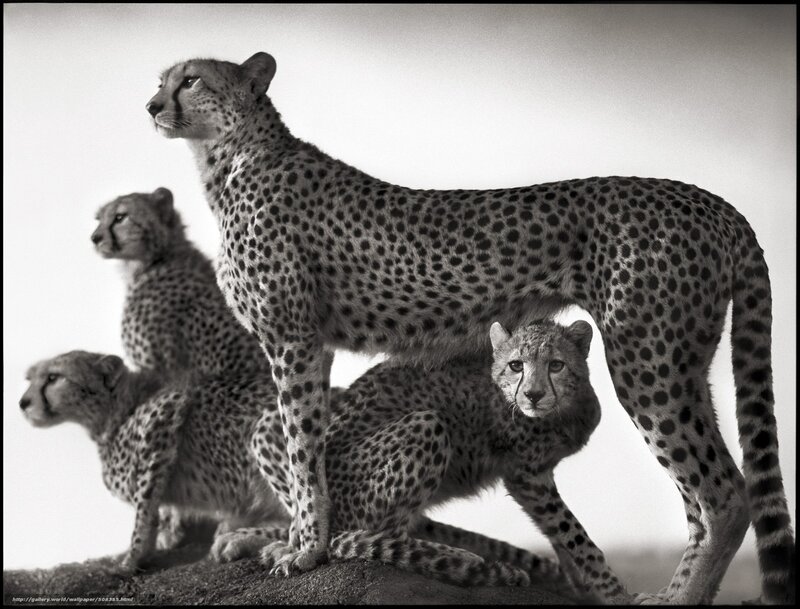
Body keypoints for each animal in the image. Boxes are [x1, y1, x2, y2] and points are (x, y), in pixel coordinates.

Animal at [18, 350, 287, 572]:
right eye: (30, 379)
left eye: (53, 378)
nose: (23, 403)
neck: (117, 409)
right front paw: (169, 535)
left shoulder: (167, 408)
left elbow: (144, 506)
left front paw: (132, 558)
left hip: (265, 429)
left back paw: (252, 541)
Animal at [210, 319, 622, 599]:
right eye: (516, 365)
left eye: (556, 365)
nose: (534, 395)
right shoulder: (527, 476)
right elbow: (573, 533)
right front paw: (612, 589)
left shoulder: (539, 476)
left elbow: (560, 538)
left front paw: (582, 586)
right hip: (427, 425)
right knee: (367, 537)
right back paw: (466, 560)